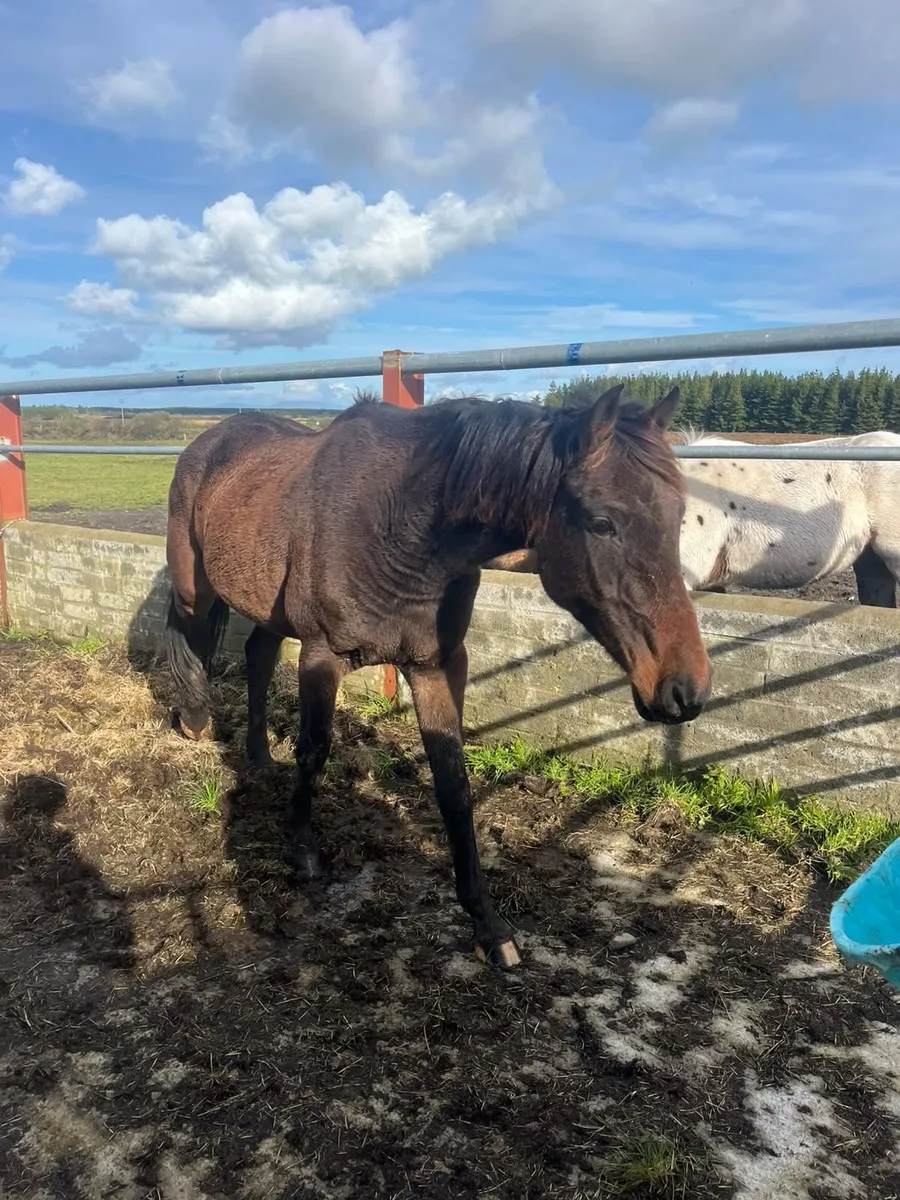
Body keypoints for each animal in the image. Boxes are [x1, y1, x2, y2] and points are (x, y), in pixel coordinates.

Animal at [164, 384, 712, 968]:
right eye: (603, 522)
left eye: (679, 517)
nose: (686, 689)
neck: (396, 530)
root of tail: (210, 439)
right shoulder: (321, 655)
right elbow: (314, 751)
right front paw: (302, 849)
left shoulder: (437, 667)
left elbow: (453, 783)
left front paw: (486, 923)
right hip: (195, 582)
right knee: (188, 630)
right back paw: (194, 717)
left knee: (258, 655)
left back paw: (260, 756)